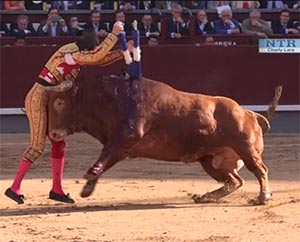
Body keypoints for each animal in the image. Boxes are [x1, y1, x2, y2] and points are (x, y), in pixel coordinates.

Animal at [48, 75, 282, 204]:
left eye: (60, 103)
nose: (53, 134)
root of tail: (249, 113)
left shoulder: (127, 135)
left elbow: (104, 155)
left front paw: (89, 179)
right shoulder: (122, 147)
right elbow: (106, 159)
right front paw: (88, 187)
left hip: (246, 150)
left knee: (260, 170)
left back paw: (263, 197)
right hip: (211, 161)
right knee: (234, 180)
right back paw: (205, 197)